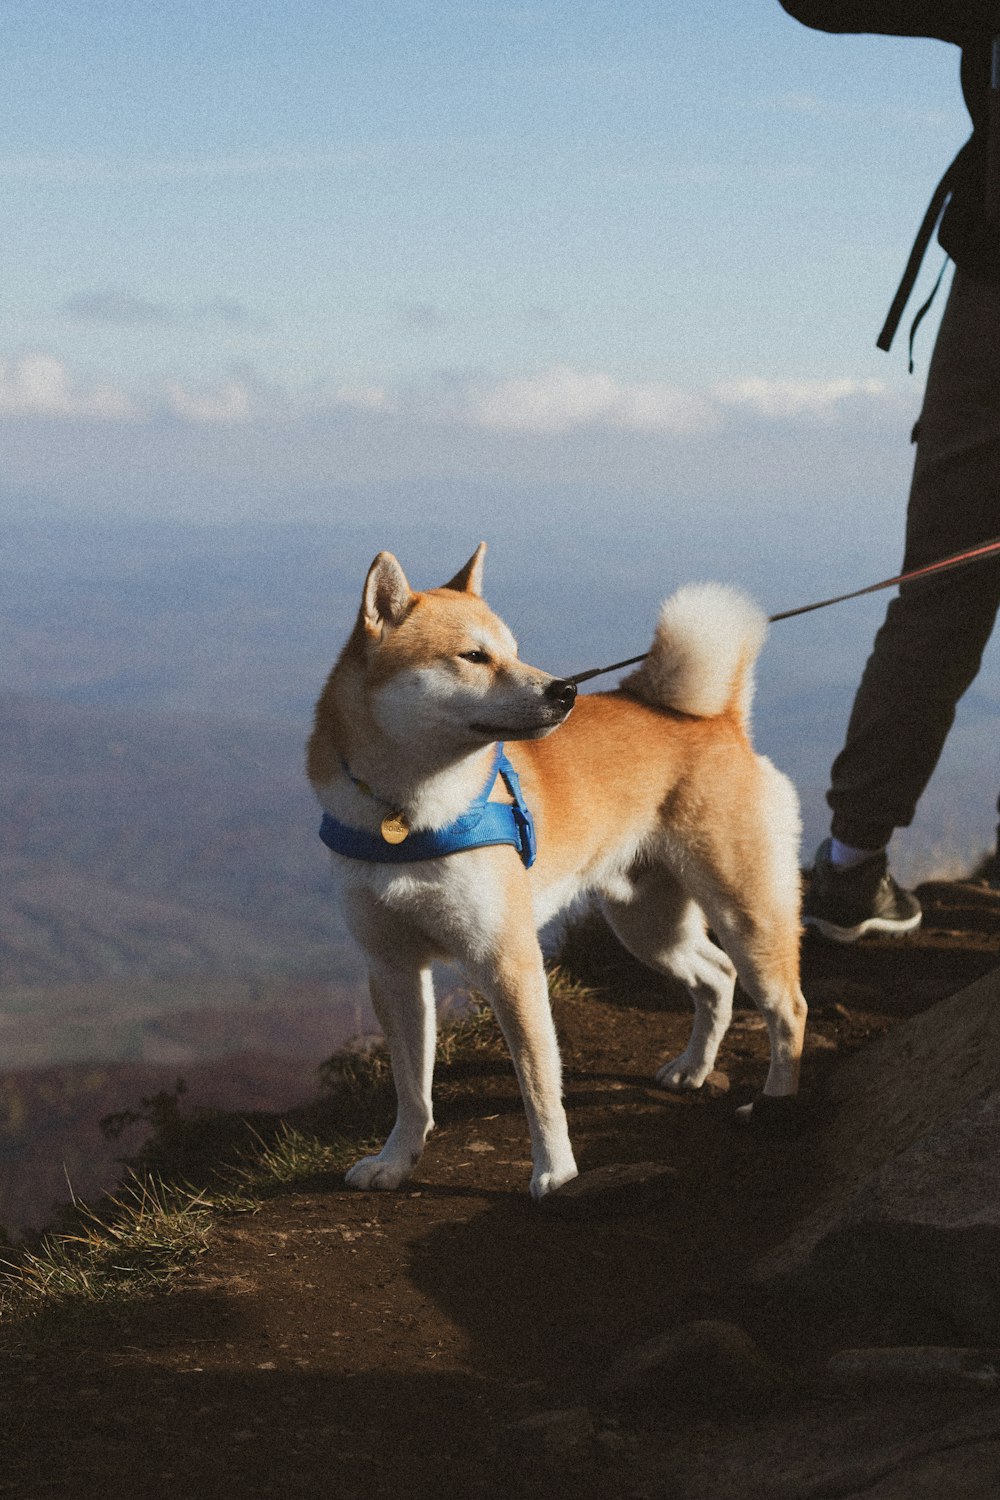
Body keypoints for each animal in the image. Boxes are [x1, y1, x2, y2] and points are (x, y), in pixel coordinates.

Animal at [308, 546, 809, 1200]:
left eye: (515, 648)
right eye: (474, 656)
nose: (565, 690)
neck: (410, 814)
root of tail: (718, 721)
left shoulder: (509, 962)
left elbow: (539, 1084)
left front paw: (556, 1171)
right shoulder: (393, 970)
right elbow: (411, 1089)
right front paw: (395, 1161)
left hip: (745, 914)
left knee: (788, 1008)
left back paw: (774, 1105)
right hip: (649, 927)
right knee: (716, 978)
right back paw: (693, 1070)